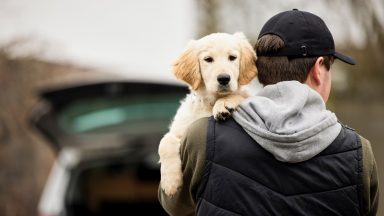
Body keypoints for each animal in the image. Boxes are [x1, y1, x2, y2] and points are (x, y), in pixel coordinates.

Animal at [158, 32, 256, 196]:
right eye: (208, 59)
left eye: (232, 57)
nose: (224, 78)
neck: (210, 102)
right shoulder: (181, 130)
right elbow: (165, 142)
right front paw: (170, 182)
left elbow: (239, 95)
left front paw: (224, 104)